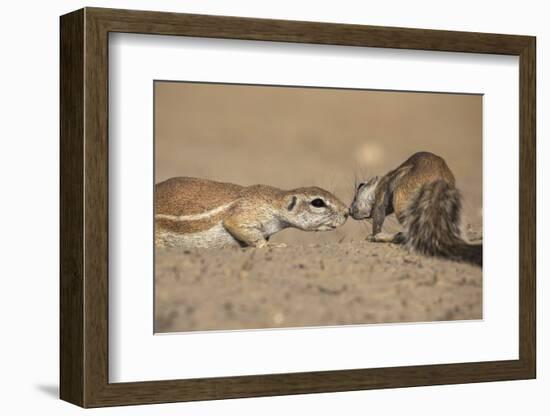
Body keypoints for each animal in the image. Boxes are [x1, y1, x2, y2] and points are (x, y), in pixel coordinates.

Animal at [155, 177, 350, 249]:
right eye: (318, 202)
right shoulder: (245, 213)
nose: (347, 212)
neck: (274, 202)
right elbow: (236, 225)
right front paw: (270, 246)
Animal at [354, 150, 484, 266]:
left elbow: (378, 213)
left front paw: (373, 236)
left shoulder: (383, 187)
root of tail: (438, 181)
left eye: (360, 185)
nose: (350, 210)